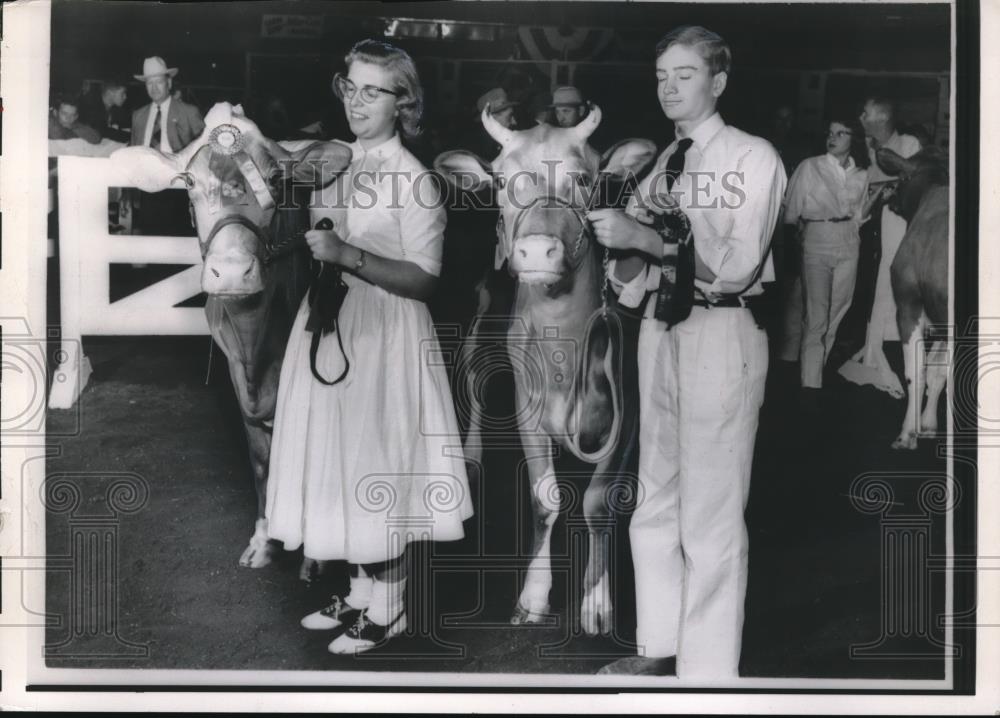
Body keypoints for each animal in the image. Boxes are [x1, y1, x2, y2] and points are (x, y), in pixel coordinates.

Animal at [108, 104, 352, 568]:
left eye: (275, 180)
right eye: (188, 182)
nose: (234, 272)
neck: (258, 341)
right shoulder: (237, 375)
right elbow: (261, 459)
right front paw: (263, 539)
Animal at [436, 107, 656, 636]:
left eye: (584, 179)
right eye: (500, 181)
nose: (537, 252)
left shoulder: (628, 414)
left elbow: (598, 500)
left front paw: (596, 602)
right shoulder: (527, 409)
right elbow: (544, 499)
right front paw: (533, 597)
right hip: (480, 327)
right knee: (474, 389)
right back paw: (469, 457)